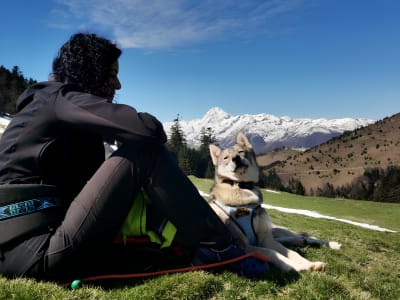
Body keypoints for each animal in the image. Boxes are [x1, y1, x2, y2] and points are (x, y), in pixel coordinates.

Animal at [206, 131, 340, 272]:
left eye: (241, 152)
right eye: (226, 157)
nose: (236, 158)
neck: (242, 186)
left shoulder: (266, 239)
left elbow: (292, 253)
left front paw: (307, 263)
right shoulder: (244, 247)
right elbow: (272, 253)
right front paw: (299, 266)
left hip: (276, 230)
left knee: (301, 236)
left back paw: (329, 244)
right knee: (290, 238)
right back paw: (299, 242)